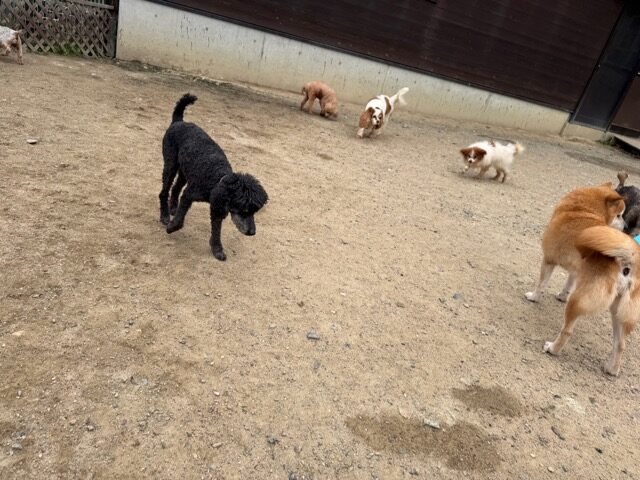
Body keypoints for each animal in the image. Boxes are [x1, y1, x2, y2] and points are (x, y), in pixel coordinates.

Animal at [159, 93, 268, 261]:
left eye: (254, 211)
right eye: (244, 210)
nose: (252, 233)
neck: (217, 179)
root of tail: (179, 121)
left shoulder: (218, 208)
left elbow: (216, 231)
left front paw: (217, 249)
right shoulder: (189, 195)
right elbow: (180, 219)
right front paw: (171, 227)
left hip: (185, 171)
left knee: (176, 187)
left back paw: (172, 208)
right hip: (171, 164)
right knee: (164, 191)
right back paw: (165, 215)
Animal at [543, 225, 639, 376]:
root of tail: (628, 263)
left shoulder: (549, 258)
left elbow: (541, 284)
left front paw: (532, 296)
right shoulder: (575, 271)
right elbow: (568, 283)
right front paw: (562, 295)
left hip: (577, 302)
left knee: (567, 331)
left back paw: (552, 348)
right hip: (617, 313)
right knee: (620, 344)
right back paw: (612, 369)